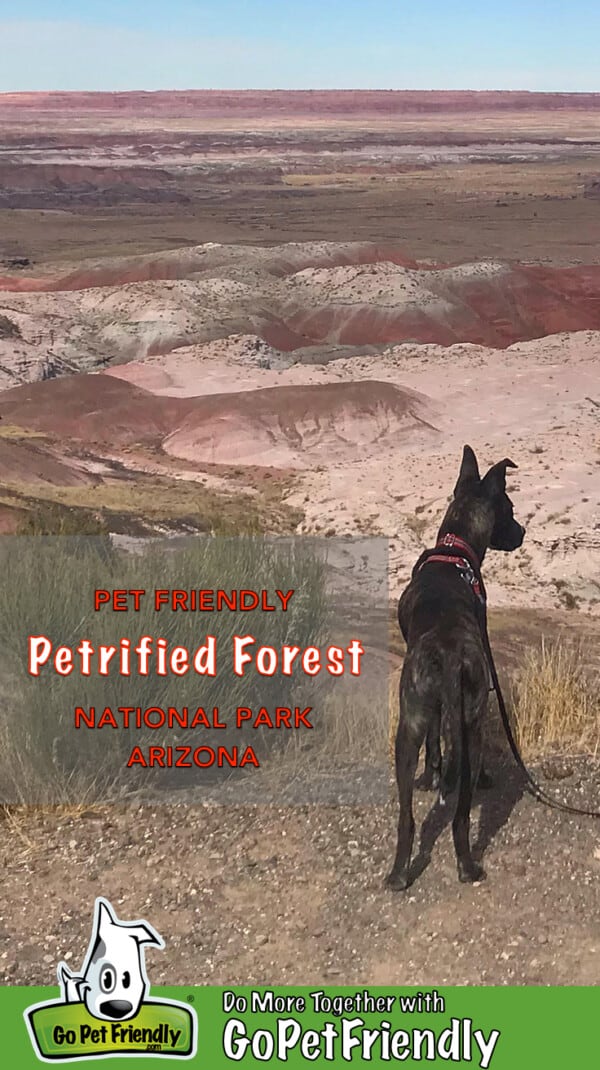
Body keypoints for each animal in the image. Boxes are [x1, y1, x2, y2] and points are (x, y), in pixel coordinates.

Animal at [385, 442, 521, 885]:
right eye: (510, 510)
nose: (522, 534)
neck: (454, 548)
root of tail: (446, 652)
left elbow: (434, 742)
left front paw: (431, 776)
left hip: (409, 723)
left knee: (410, 818)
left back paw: (401, 873)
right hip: (470, 720)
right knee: (460, 813)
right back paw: (466, 863)